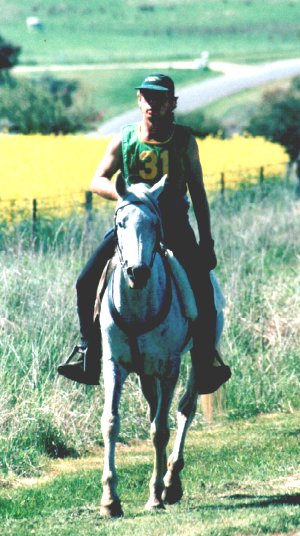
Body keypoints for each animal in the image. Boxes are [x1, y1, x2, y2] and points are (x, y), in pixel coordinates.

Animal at [99, 174, 225, 516]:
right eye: (120, 223)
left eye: (155, 223)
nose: (137, 271)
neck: (138, 304)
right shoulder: (114, 365)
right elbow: (111, 423)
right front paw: (110, 499)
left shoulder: (169, 367)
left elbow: (160, 430)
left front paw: (155, 495)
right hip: (145, 373)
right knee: (157, 408)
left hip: (196, 358)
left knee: (185, 410)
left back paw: (171, 482)